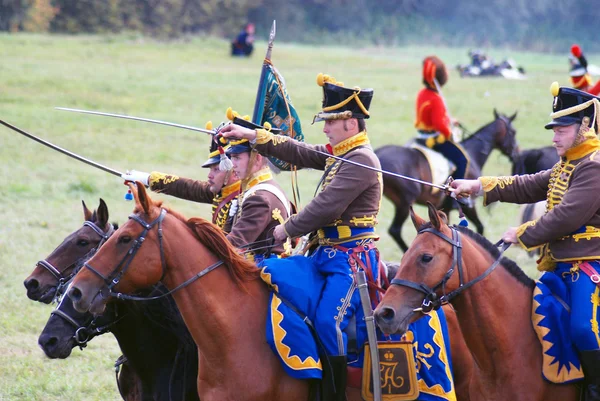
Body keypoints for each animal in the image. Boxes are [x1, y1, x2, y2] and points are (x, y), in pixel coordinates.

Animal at [378, 109, 516, 250]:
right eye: (513, 132)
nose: (515, 153)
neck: (473, 154)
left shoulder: (445, 210)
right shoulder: (469, 206)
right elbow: (480, 227)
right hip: (405, 203)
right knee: (395, 230)